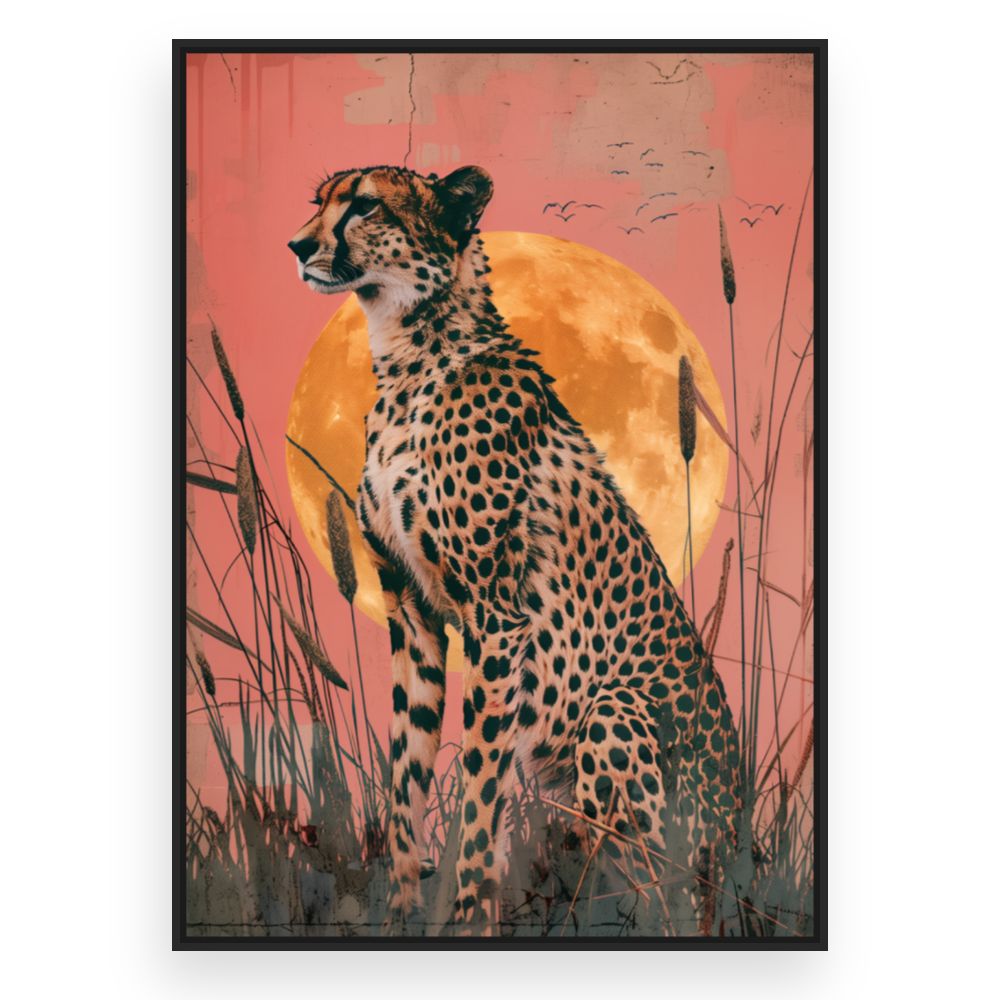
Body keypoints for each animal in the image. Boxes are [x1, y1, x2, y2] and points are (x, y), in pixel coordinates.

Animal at [288, 164, 741, 932]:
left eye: (366, 205)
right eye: (319, 200)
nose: (296, 245)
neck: (410, 358)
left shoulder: (498, 622)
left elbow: (479, 790)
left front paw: (468, 914)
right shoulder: (413, 616)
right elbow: (406, 777)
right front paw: (401, 911)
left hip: (614, 721)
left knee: (668, 896)